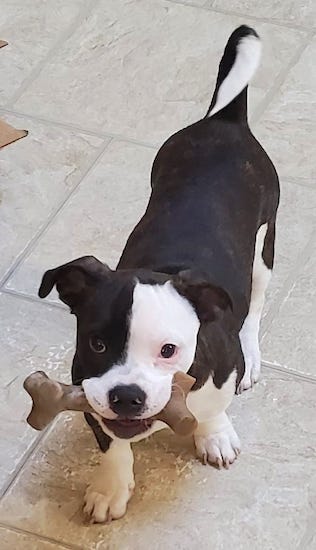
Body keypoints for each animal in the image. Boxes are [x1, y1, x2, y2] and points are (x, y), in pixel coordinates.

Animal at [39, 27, 278, 528]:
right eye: (96, 344)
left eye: (169, 350)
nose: (127, 395)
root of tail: (225, 120)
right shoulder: (90, 392)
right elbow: (112, 441)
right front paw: (110, 486)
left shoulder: (219, 370)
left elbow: (213, 405)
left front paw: (213, 435)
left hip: (265, 246)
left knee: (255, 304)